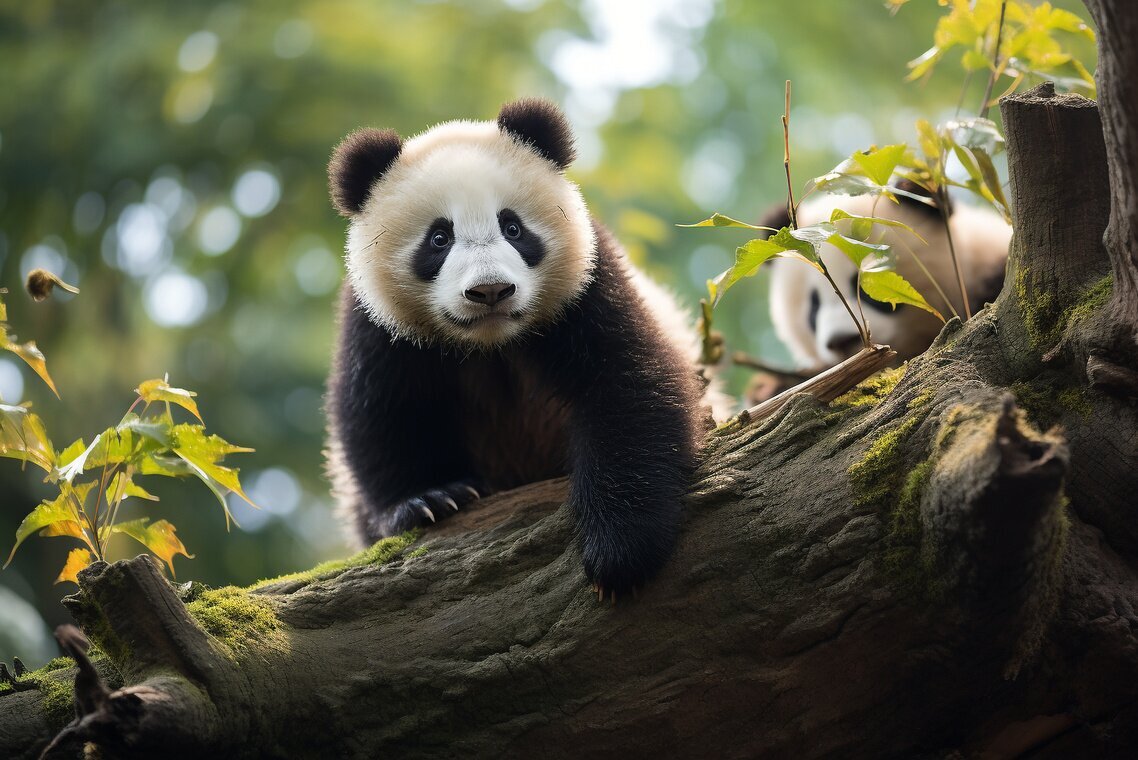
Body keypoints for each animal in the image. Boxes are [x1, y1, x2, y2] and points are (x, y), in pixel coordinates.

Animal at [325, 99, 713, 596]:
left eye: (512, 227)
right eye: (439, 238)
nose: (489, 290)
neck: (492, 345)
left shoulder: (588, 287)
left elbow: (629, 382)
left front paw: (619, 551)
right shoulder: (379, 326)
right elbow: (382, 411)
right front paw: (429, 499)